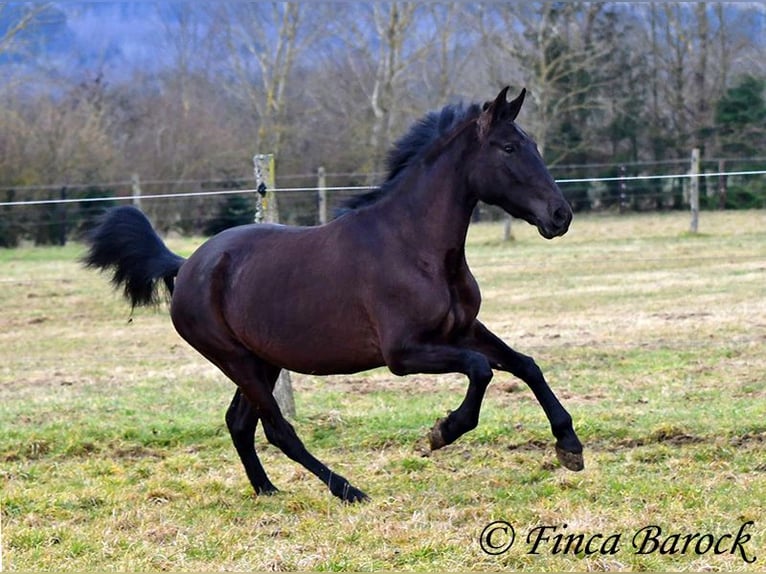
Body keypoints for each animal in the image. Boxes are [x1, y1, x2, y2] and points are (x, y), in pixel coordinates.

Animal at [84, 86, 584, 504]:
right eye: (509, 148)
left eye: (534, 145)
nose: (561, 216)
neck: (414, 246)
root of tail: (186, 266)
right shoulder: (404, 353)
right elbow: (481, 370)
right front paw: (443, 431)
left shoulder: (462, 329)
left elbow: (525, 365)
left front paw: (570, 446)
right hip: (235, 359)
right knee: (278, 429)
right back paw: (348, 490)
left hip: (262, 360)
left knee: (240, 423)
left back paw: (267, 490)